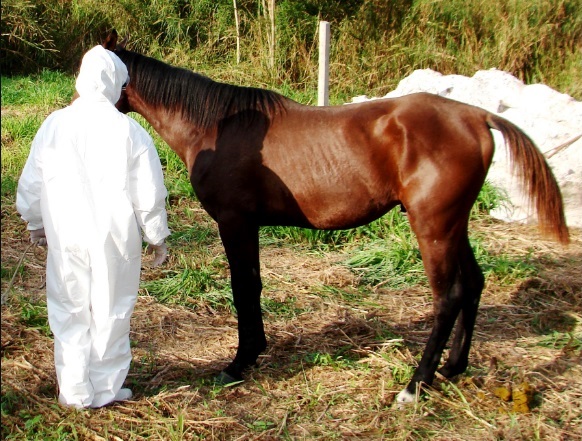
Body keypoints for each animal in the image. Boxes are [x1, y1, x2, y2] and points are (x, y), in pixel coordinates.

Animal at [101, 31, 572, 404]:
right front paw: (253, 353)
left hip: (433, 228)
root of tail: (475, 115)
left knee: (448, 297)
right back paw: (453, 367)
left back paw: (414, 385)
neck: (217, 126)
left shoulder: (235, 223)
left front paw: (239, 362)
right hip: (455, 224)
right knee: (473, 284)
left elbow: (243, 288)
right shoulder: (246, 226)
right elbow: (252, 286)